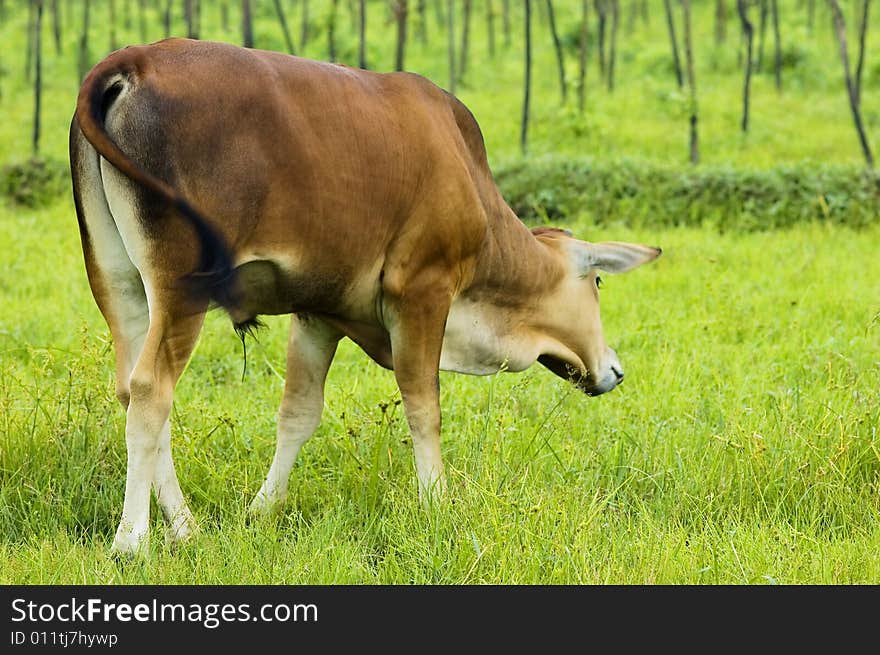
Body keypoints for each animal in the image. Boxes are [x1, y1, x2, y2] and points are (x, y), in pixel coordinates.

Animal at [70, 39, 660, 552]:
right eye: (598, 281)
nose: (615, 369)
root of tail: (133, 61)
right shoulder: (423, 290)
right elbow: (424, 408)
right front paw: (435, 501)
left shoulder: (316, 313)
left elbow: (298, 414)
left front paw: (263, 508)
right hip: (181, 289)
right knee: (152, 390)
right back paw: (133, 539)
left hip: (118, 283)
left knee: (132, 390)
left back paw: (185, 525)